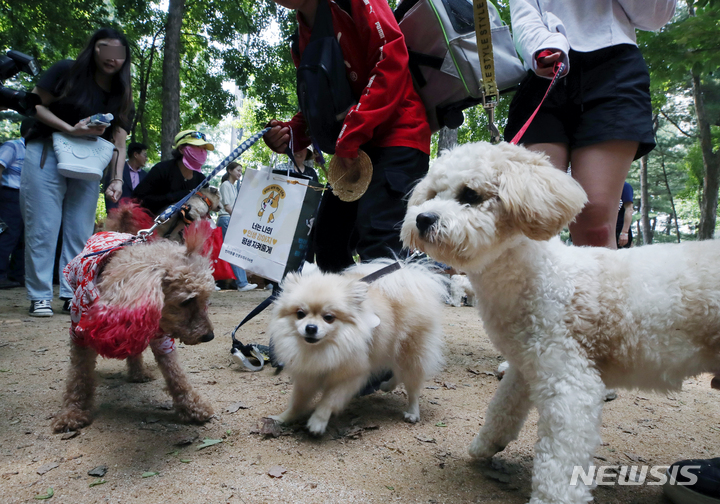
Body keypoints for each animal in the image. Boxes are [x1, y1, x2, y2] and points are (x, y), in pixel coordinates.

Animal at [268, 260, 448, 434]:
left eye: (329, 317)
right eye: (300, 314)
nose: (311, 328)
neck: (323, 348)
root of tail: (409, 277)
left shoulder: (350, 376)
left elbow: (329, 400)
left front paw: (317, 421)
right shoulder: (307, 376)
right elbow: (297, 401)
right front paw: (283, 418)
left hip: (410, 353)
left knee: (412, 386)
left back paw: (412, 412)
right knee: (397, 371)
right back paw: (388, 385)